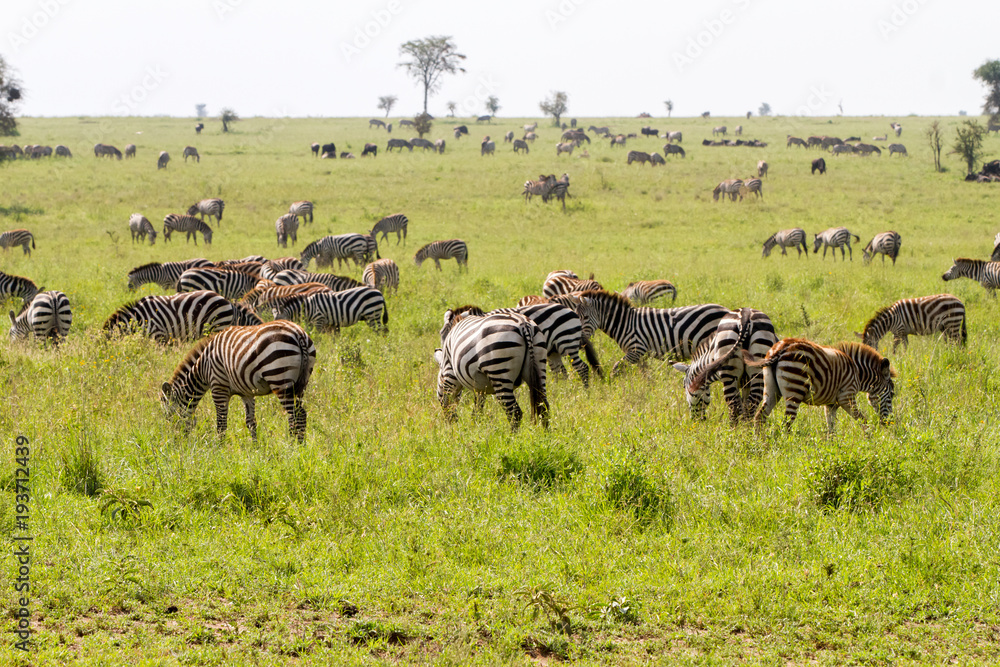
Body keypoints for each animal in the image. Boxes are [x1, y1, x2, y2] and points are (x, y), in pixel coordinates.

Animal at [160, 321, 316, 442]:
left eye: (169, 416)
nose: (176, 441)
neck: (203, 367)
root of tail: (299, 334)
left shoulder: (218, 387)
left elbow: (221, 423)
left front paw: (219, 449)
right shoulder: (247, 393)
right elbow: (251, 422)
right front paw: (255, 448)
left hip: (279, 378)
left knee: (297, 415)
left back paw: (294, 446)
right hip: (300, 384)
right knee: (297, 416)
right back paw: (297, 445)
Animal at [571, 290, 730, 375]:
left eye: (585, 317)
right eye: (575, 316)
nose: (579, 343)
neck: (624, 322)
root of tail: (725, 309)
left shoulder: (636, 350)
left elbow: (616, 367)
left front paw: (610, 385)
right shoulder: (641, 356)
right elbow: (646, 375)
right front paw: (648, 391)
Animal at [746, 338, 896, 434]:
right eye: (892, 395)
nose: (890, 422)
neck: (857, 373)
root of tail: (781, 349)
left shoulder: (831, 404)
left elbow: (831, 429)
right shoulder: (846, 397)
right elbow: (863, 420)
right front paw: (872, 440)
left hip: (771, 389)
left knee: (760, 417)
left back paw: (760, 446)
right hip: (795, 389)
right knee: (786, 425)